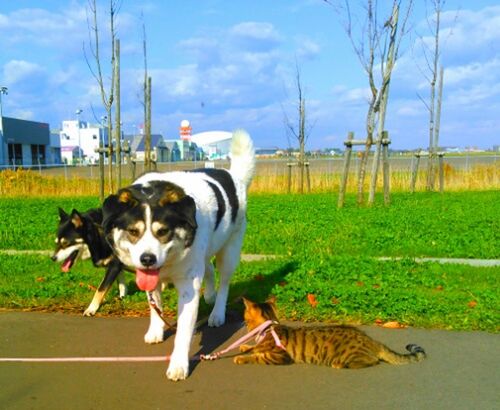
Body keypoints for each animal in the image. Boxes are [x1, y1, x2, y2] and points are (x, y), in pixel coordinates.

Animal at [103, 130, 256, 380]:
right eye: (133, 232)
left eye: (163, 231)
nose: (147, 259)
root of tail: (234, 176)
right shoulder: (152, 277)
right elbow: (154, 304)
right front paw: (156, 330)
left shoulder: (188, 285)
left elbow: (184, 329)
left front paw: (178, 364)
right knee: (208, 268)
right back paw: (210, 295)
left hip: (230, 249)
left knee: (223, 280)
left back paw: (217, 312)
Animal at [234, 298, 426, 368]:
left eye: (245, 316)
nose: (243, 321)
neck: (269, 328)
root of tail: (372, 340)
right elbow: (253, 348)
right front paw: (244, 346)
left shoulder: (281, 357)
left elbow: (259, 356)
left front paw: (242, 357)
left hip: (352, 355)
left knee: (372, 361)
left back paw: (340, 365)